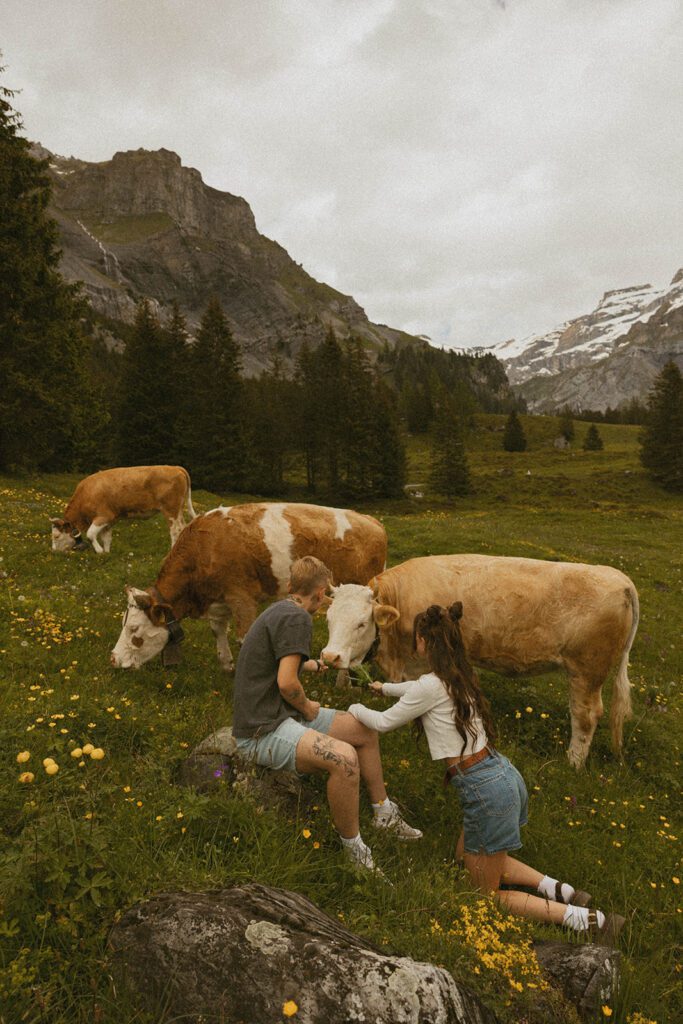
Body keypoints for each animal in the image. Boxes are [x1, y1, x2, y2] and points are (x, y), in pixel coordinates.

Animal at [49, 468, 194, 557]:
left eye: (56, 536)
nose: (54, 552)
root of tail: (175, 467)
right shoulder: (109, 520)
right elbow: (106, 538)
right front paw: (106, 553)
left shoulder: (103, 516)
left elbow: (90, 534)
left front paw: (99, 551)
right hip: (178, 511)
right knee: (183, 527)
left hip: (171, 510)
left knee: (175, 530)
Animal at [109, 501, 387, 671]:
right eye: (122, 623)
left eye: (134, 628)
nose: (113, 659)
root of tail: (370, 520)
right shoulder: (219, 600)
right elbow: (217, 631)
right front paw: (226, 664)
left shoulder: (242, 598)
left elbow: (244, 638)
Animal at [323, 552, 638, 770]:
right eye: (328, 618)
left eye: (362, 623)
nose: (329, 656)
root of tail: (620, 579)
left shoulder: (420, 666)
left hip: (587, 671)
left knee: (586, 716)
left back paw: (572, 762)